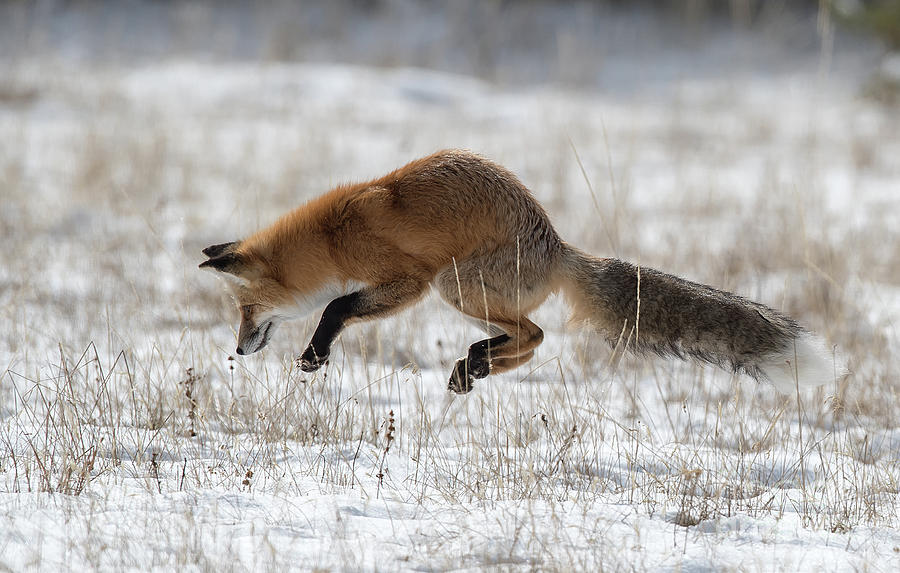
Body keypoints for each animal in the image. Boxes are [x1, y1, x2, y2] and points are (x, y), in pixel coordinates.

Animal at [200, 147, 832, 394]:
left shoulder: (409, 281)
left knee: (536, 334)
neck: (334, 235)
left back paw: (476, 364)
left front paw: (314, 354)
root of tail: (558, 245)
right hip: (471, 296)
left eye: (246, 309)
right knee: (529, 338)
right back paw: (474, 367)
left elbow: (336, 306)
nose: (237, 348)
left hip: (453, 284)